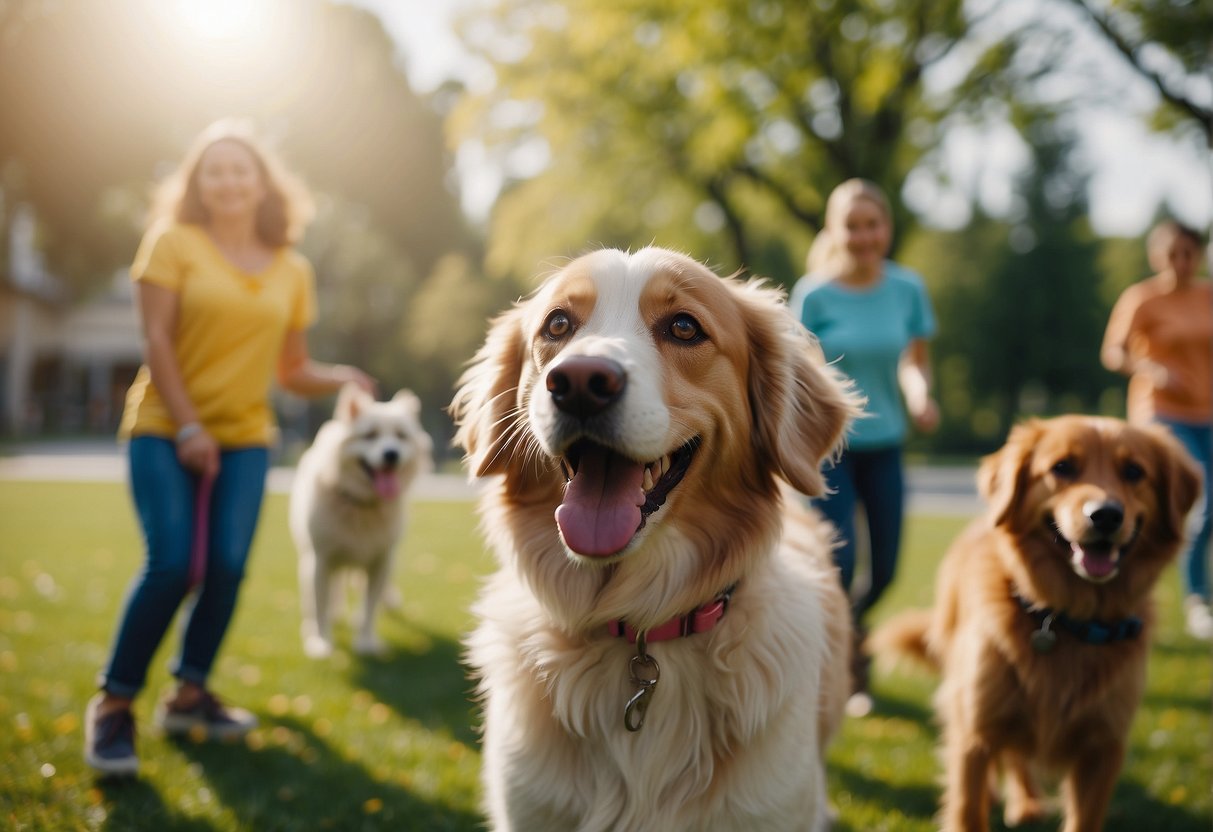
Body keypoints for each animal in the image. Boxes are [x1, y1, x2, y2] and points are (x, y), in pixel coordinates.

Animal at [288, 388, 431, 659]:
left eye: (401, 436)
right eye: (370, 435)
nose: (391, 454)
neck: (361, 507)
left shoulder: (380, 560)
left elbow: (369, 608)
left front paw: (366, 642)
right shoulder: (320, 559)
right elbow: (319, 606)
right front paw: (320, 642)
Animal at [868, 417, 1198, 832]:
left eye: (1134, 472)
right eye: (1062, 467)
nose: (1106, 515)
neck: (1067, 617)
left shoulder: (1103, 748)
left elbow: (1083, 818)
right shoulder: (976, 729)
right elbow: (968, 807)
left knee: (1018, 755)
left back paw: (1026, 802)